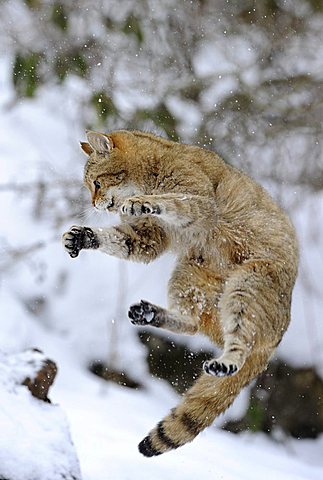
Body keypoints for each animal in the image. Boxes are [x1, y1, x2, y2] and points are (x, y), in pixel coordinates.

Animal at [62, 130, 298, 458]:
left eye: (96, 183)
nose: (95, 205)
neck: (151, 170)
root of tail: (280, 334)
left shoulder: (200, 203)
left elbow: (174, 201)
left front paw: (141, 202)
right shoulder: (149, 238)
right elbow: (124, 239)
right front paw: (84, 236)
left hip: (247, 284)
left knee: (240, 340)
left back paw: (226, 361)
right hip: (188, 274)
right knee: (192, 323)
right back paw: (150, 314)